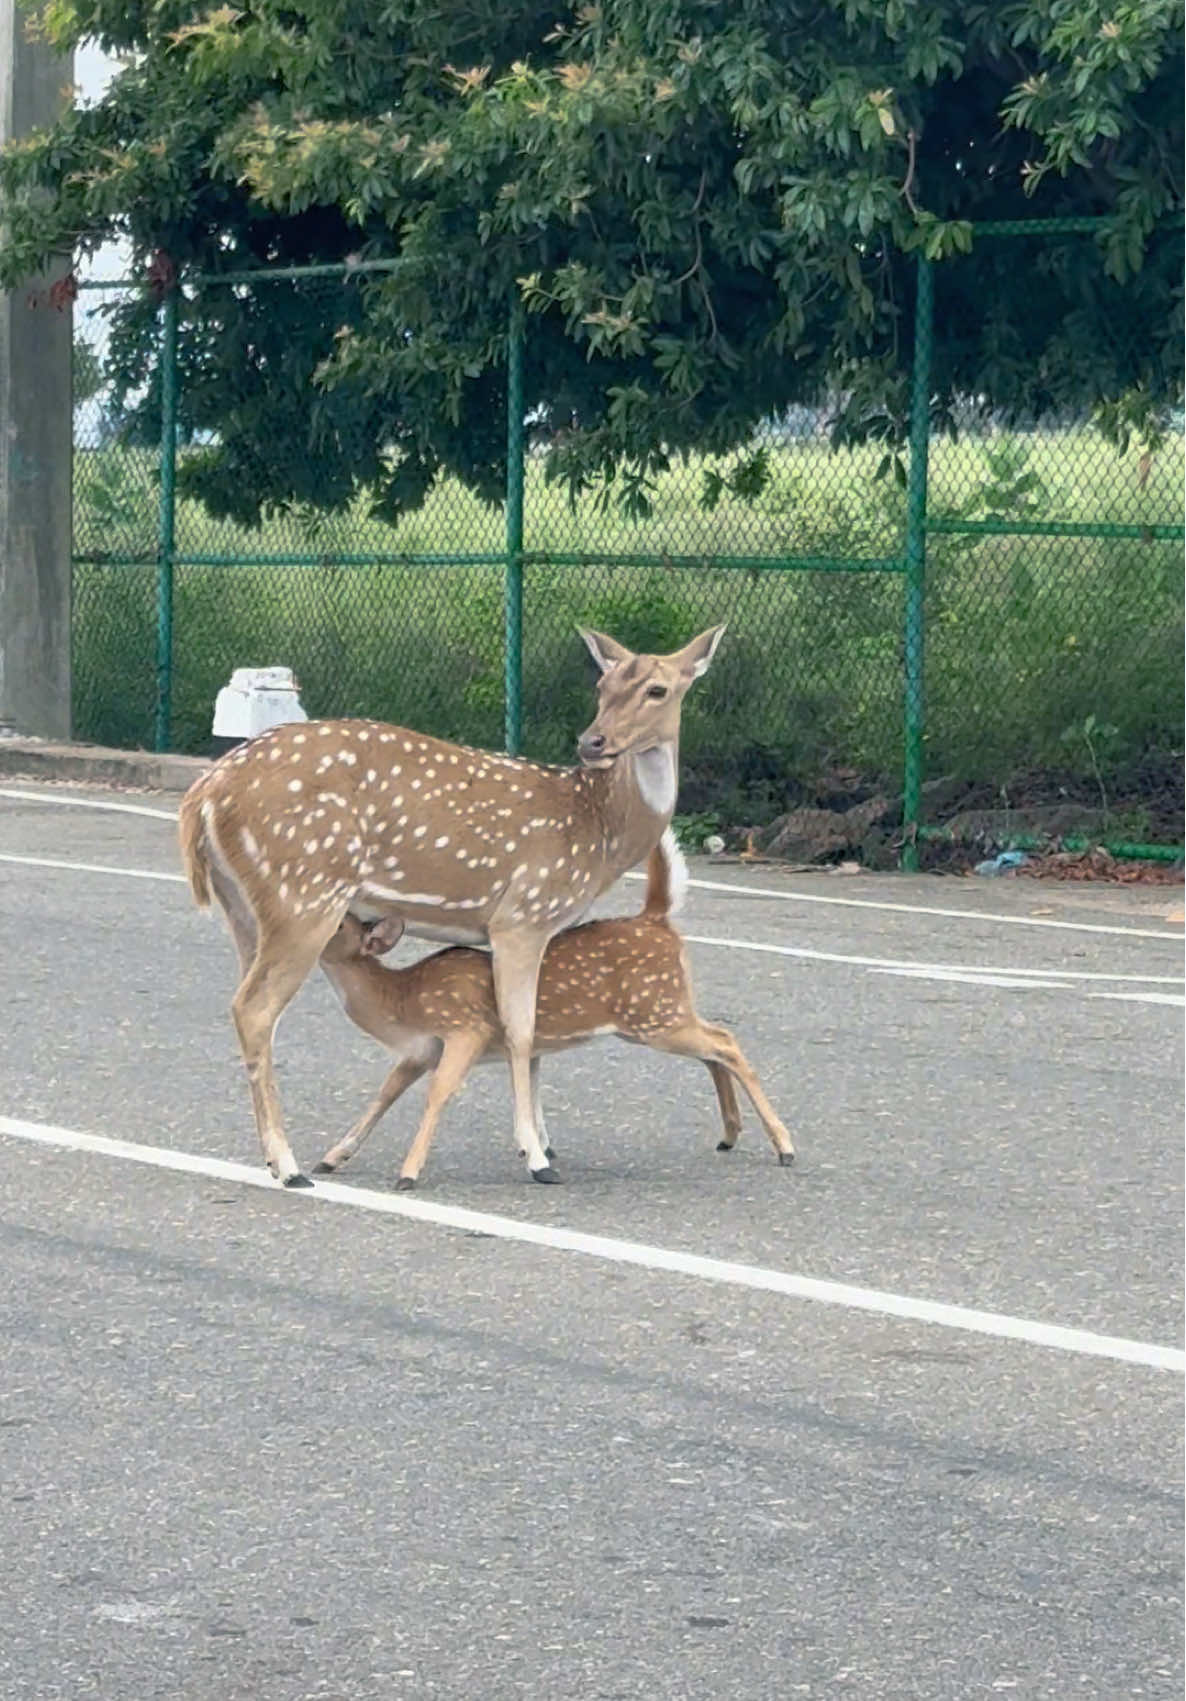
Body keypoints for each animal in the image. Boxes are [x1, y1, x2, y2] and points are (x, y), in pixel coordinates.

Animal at [177, 622, 721, 1183]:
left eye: (656, 689)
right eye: (602, 686)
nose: (593, 742)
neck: (599, 831)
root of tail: (205, 793)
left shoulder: (536, 927)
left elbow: (532, 1035)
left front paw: (542, 1143)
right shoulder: (523, 914)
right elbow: (522, 1030)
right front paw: (536, 1155)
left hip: (245, 907)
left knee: (247, 1005)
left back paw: (276, 1157)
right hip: (305, 891)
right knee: (255, 1009)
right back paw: (288, 1165)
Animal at [309, 830, 789, 1190]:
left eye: (340, 923)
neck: (402, 1000)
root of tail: (657, 919)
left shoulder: (465, 1027)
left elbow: (438, 1092)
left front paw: (408, 1173)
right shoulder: (419, 1051)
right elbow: (384, 1093)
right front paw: (333, 1157)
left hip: (654, 1013)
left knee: (726, 1042)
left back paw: (784, 1145)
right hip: (664, 1009)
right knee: (715, 1045)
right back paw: (730, 1135)